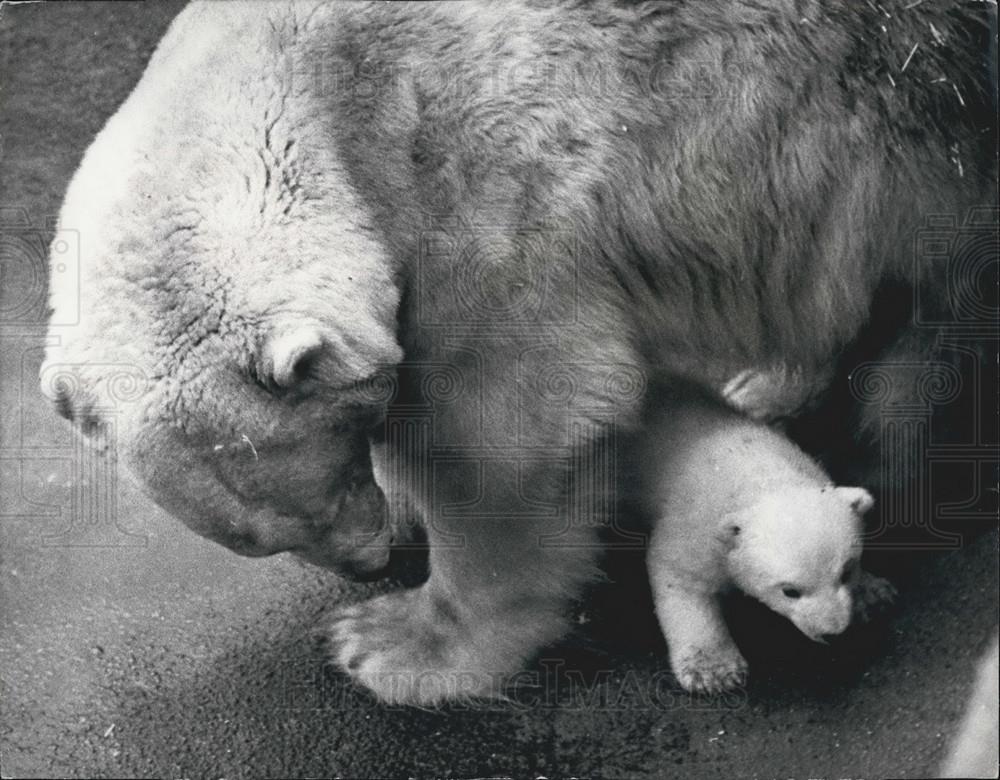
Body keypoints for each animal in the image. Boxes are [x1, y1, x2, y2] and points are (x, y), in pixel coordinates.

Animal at [41, 1, 992, 708]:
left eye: (325, 482)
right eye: (257, 540)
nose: (368, 563)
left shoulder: (494, 199)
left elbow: (503, 434)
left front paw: (391, 644)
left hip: (929, 127)